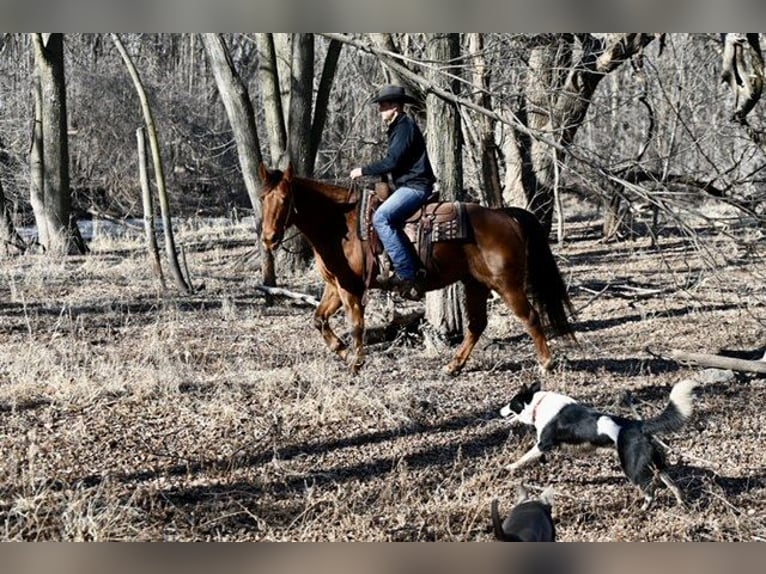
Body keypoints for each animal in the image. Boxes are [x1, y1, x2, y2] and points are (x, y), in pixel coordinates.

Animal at [260, 164, 576, 376]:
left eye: (285, 199)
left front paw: (355, 362)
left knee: (530, 317)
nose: (268, 238)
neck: (340, 224)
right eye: (263, 199)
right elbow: (319, 319)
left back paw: (545, 363)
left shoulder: (351, 288)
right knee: (476, 325)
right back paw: (453, 365)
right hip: (476, 283)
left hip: (506, 285)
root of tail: (505, 215)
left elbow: (356, 325)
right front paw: (342, 350)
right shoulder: (335, 287)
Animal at [500, 380, 700, 510]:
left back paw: (641, 511)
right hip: (658, 465)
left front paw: (508, 468)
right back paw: (682, 504)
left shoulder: (543, 444)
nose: (499, 411)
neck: (537, 404)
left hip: (632, 469)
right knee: (673, 485)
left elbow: (523, 458)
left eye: (511, 403)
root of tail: (639, 425)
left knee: (650, 492)